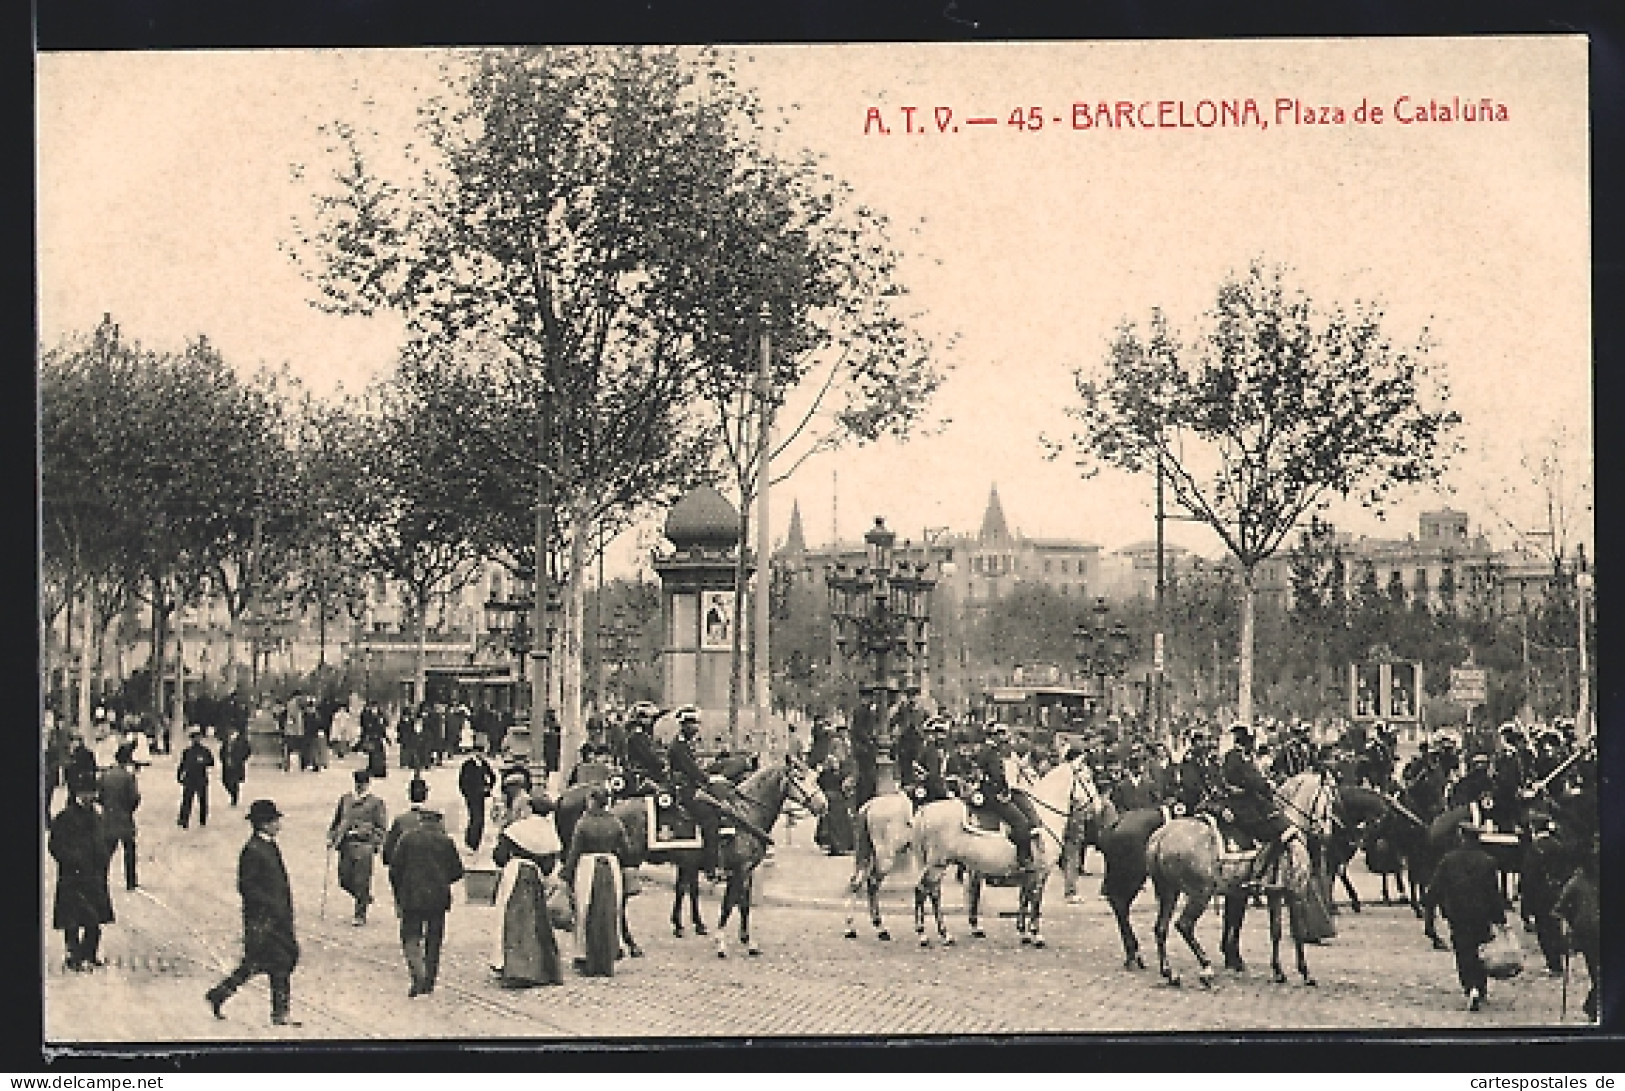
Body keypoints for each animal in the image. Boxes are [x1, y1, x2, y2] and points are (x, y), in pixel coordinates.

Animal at [916, 764, 1105, 949]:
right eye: (1088, 779)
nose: (1099, 807)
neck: (1043, 815)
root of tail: (924, 810)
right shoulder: (1041, 872)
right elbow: (1035, 901)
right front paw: (1036, 935)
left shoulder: (1029, 873)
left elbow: (1024, 899)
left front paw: (1023, 932)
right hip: (938, 863)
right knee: (923, 891)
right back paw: (929, 935)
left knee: (933, 892)